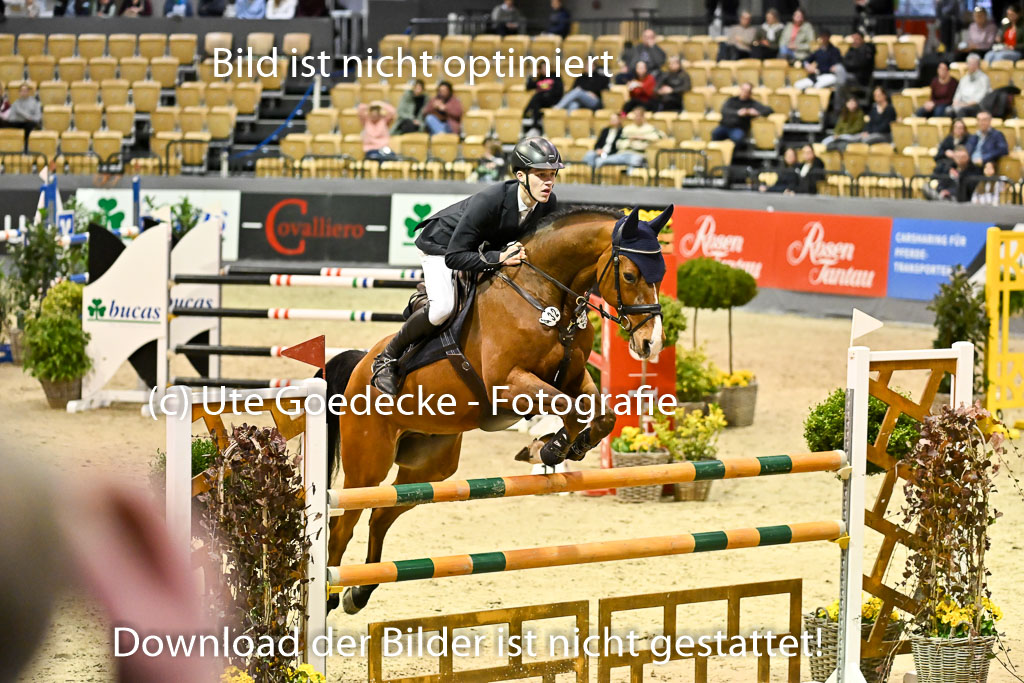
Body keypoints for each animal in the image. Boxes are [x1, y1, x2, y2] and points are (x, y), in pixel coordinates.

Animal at [320, 205, 672, 614]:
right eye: (630, 275)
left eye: (661, 275)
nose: (651, 344)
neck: (546, 297)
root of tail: (360, 365)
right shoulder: (510, 384)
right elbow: (567, 408)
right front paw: (551, 449)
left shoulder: (573, 375)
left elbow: (601, 414)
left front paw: (569, 446)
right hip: (368, 464)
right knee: (344, 526)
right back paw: (329, 597)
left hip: (431, 465)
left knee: (380, 515)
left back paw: (358, 593)